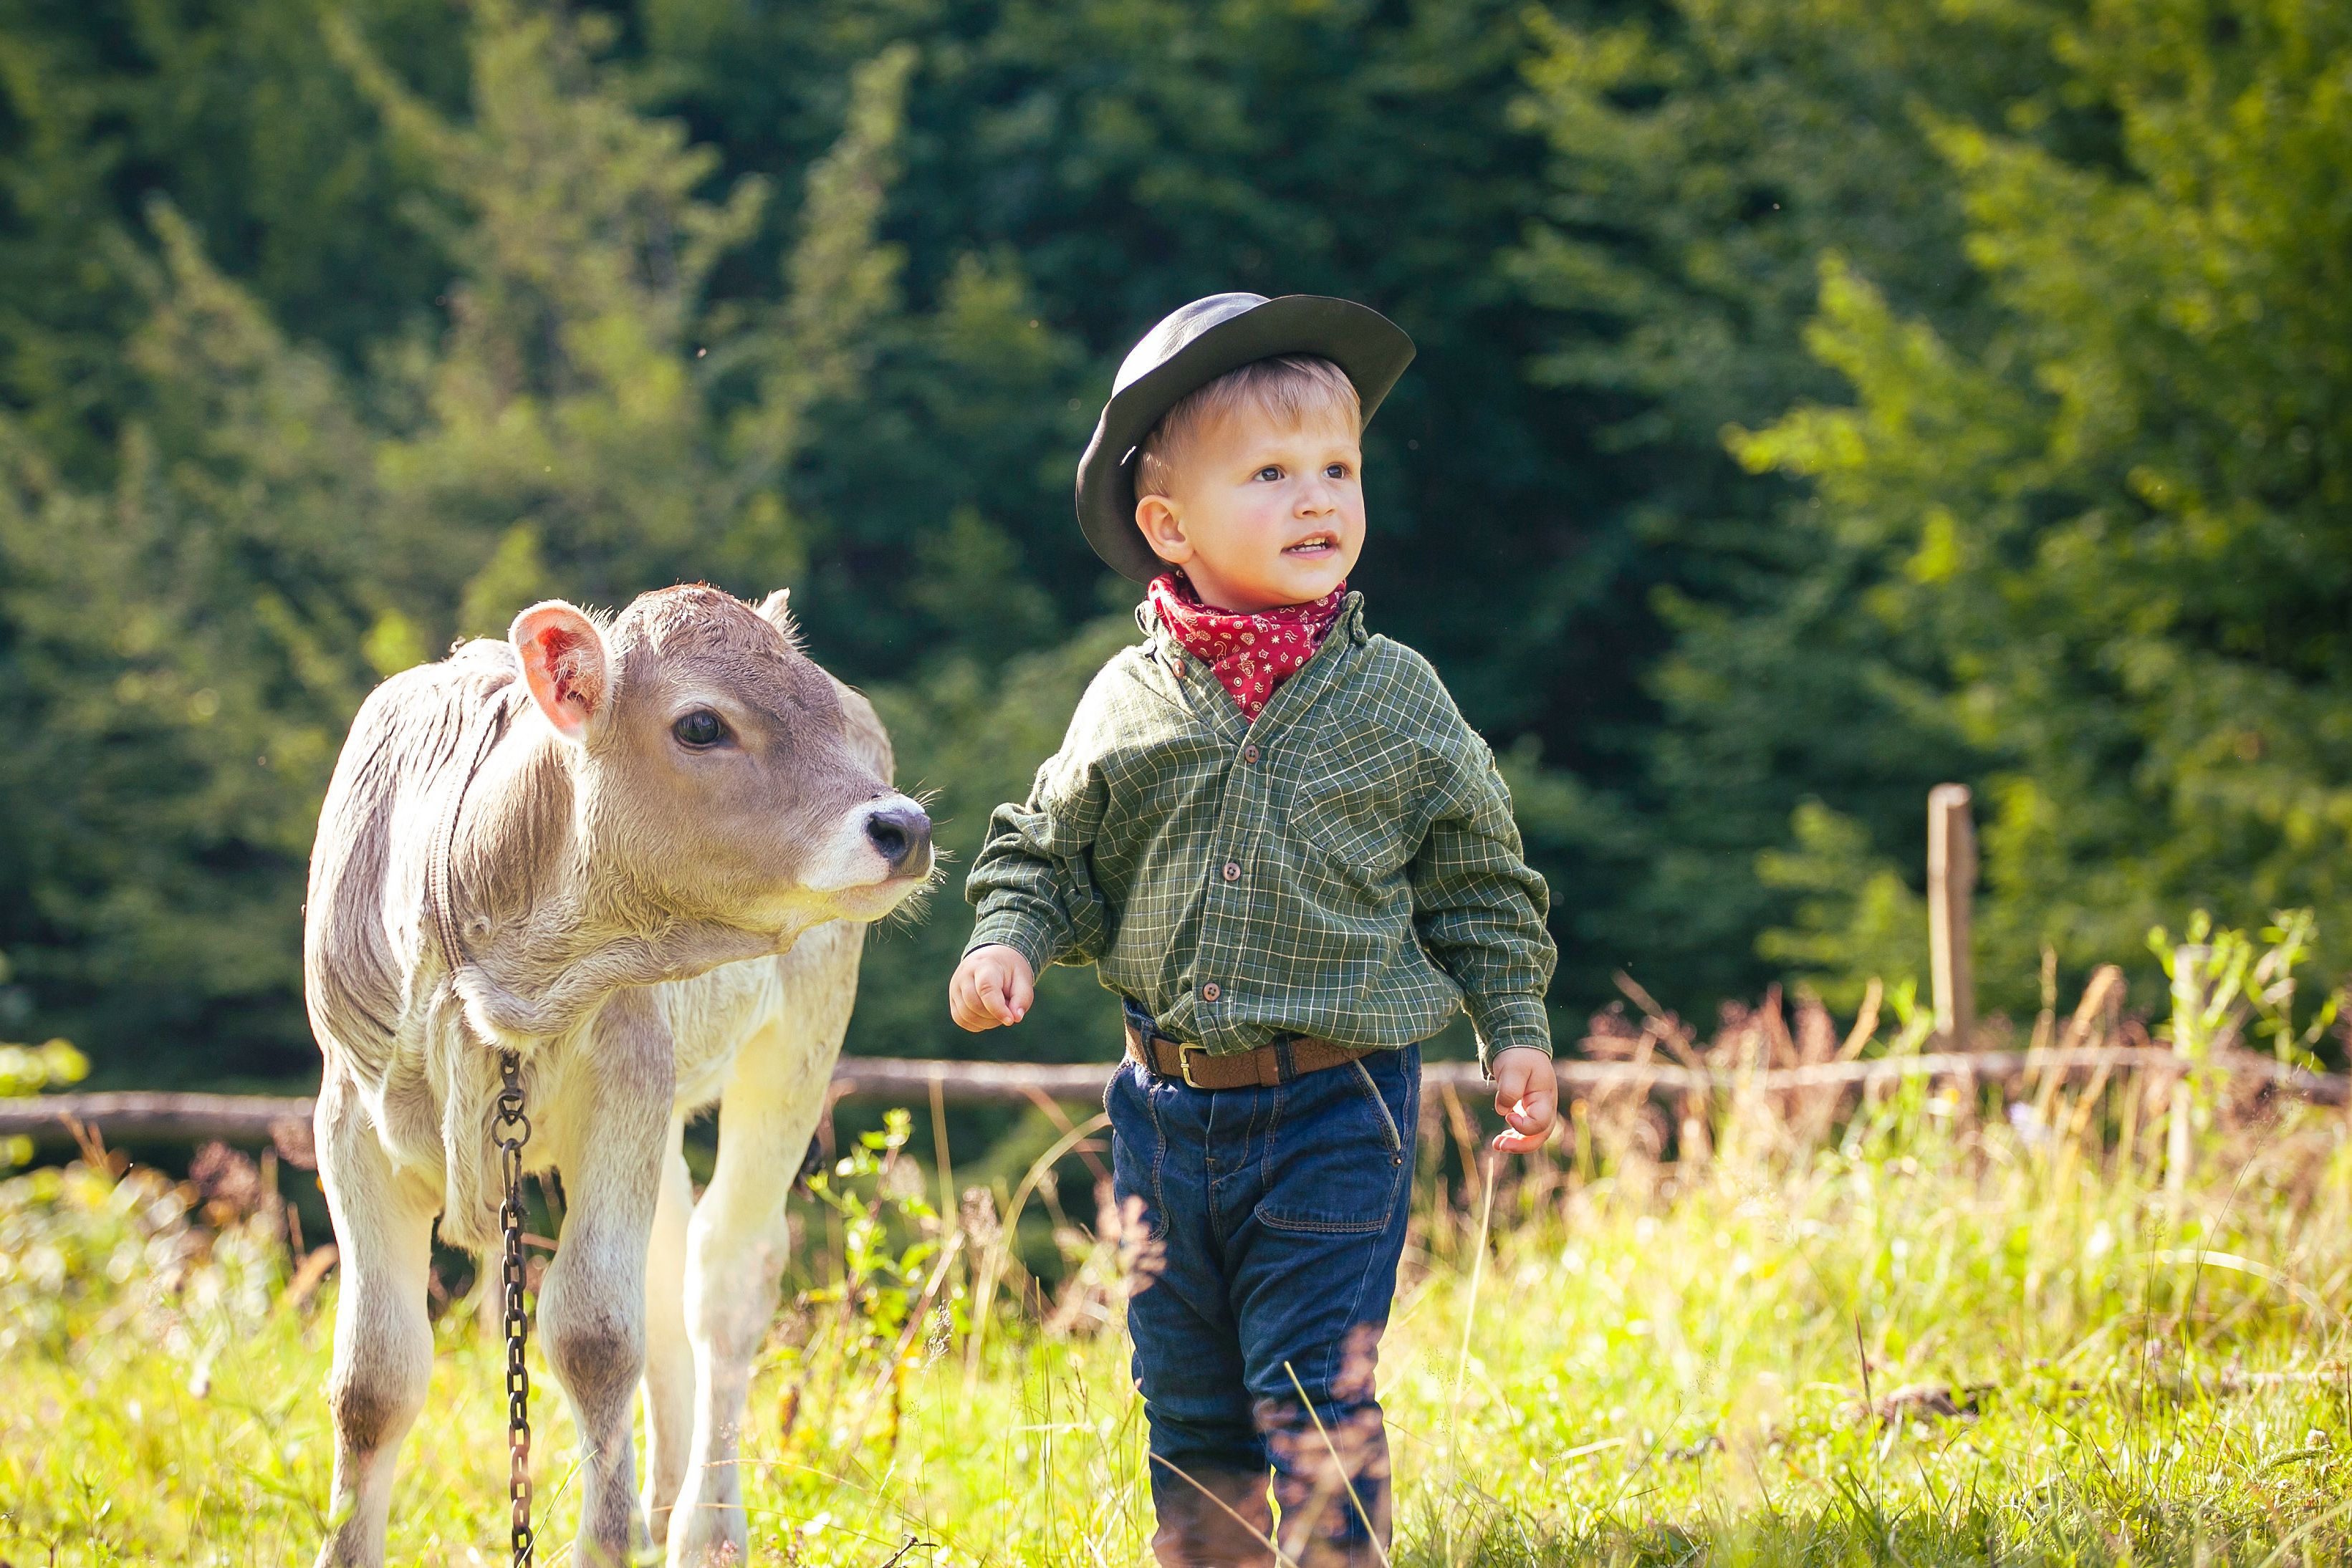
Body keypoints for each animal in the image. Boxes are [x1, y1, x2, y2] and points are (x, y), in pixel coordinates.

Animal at [303, 584, 934, 1567]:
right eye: (701, 724)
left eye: (825, 712)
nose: (903, 826)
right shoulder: (349, 1119)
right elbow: (373, 1379)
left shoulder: (625, 1075)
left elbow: (594, 1335)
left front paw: (604, 1540)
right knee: (669, 1279)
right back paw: (662, 1499)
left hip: (796, 1037)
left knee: (724, 1276)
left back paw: (705, 1527)